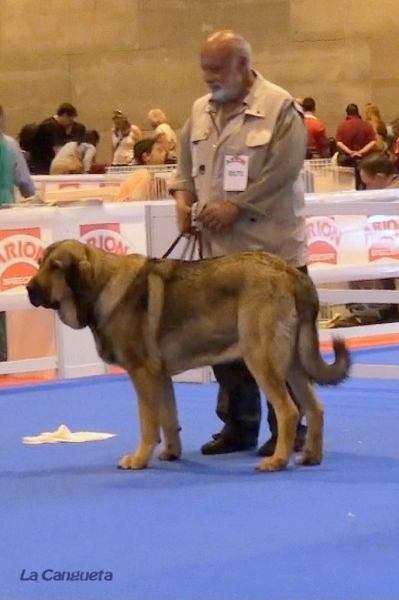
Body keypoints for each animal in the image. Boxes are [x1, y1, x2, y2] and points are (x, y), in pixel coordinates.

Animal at [26, 241, 352, 472]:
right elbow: (169, 418)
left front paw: (139, 459)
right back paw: (311, 456)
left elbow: (148, 422)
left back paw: (277, 460)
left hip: (261, 359)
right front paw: (171, 453)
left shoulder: (142, 374)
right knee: (315, 408)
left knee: (289, 412)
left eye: (56, 267)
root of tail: (291, 273)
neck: (104, 285)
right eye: (40, 263)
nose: (29, 289)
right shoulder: (160, 376)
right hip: (294, 363)